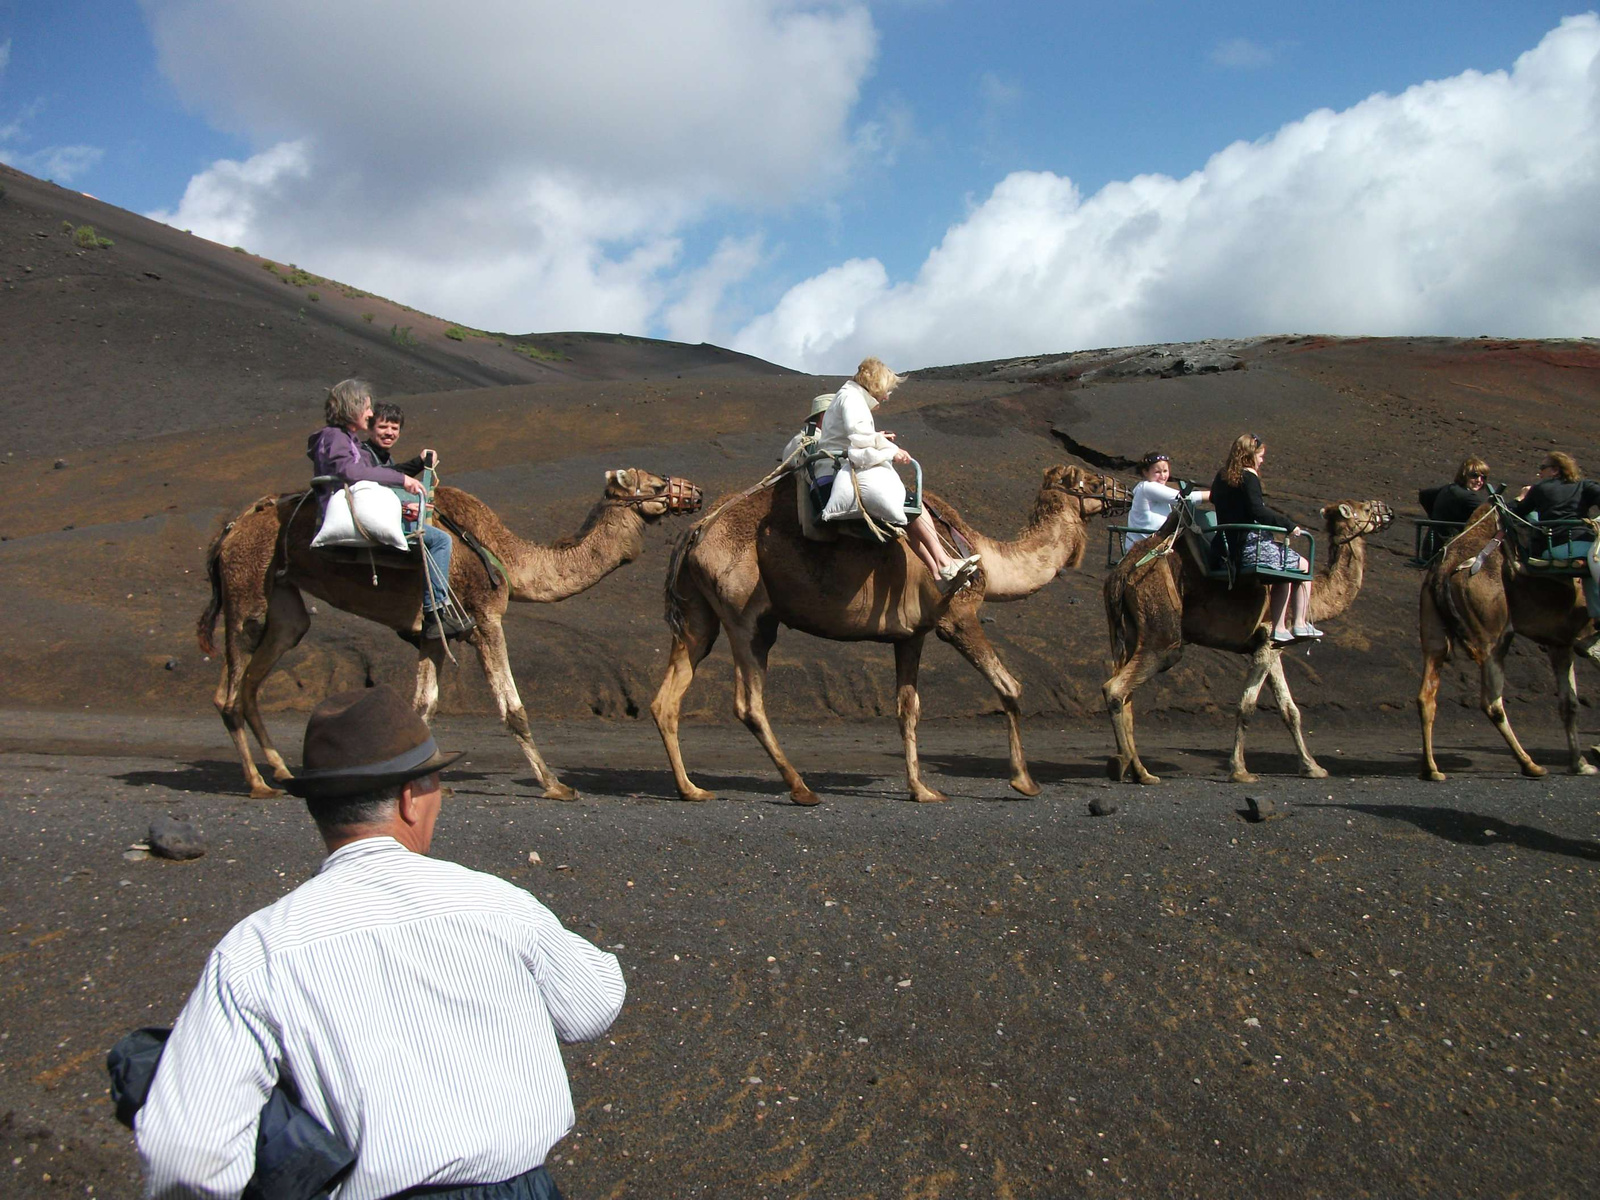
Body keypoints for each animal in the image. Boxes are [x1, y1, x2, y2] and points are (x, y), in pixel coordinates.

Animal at [200, 470, 700, 800]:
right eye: (657, 484)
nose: (694, 491)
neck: (508, 558)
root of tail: (229, 530)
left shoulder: (432, 630)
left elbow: (424, 707)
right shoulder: (483, 619)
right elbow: (513, 709)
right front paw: (556, 785)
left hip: (282, 603)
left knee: (256, 677)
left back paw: (283, 774)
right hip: (246, 592)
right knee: (228, 691)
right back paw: (258, 784)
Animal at [646, 467, 1126, 809]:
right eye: (1093, 480)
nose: (1123, 490)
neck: (981, 553)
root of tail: (695, 531)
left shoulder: (911, 635)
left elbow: (907, 709)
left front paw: (922, 790)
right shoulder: (956, 617)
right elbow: (1009, 687)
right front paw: (1025, 782)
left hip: (699, 614)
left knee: (667, 697)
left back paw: (691, 790)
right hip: (748, 613)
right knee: (748, 701)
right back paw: (801, 788)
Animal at [1107, 502, 1395, 784]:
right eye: (1365, 509)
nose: (1388, 511)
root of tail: (1124, 570)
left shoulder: (1272, 645)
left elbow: (1290, 710)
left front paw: (1313, 767)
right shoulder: (1268, 638)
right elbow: (1246, 707)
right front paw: (1240, 771)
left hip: (1133, 629)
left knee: (1127, 694)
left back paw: (1138, 770)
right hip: (1161, 623)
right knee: (1118, 687)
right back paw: (1131, 766)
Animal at [1420, 505, 1593, 780]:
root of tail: (1445, 570)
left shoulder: (1561, 643)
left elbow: (1570, 703)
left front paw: (1579, 764)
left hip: (1433, 631)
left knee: (1426, 695)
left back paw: (1432, 769)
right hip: (1493, 637)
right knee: (1492, 702)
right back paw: (1530, 765)